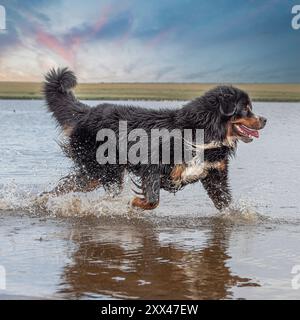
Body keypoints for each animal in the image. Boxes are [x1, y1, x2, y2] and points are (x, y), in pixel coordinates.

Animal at [42, 68, 268, 211]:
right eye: (246, 109)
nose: (265, 119)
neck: (204, 132)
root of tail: (87, 112)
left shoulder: (215, 175)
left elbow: (225, 202)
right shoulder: (152, 166)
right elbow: (152, 199)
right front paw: (134, 204)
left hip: (94, 174)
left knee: (63, 187)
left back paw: (42, 201)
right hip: (103, 170)